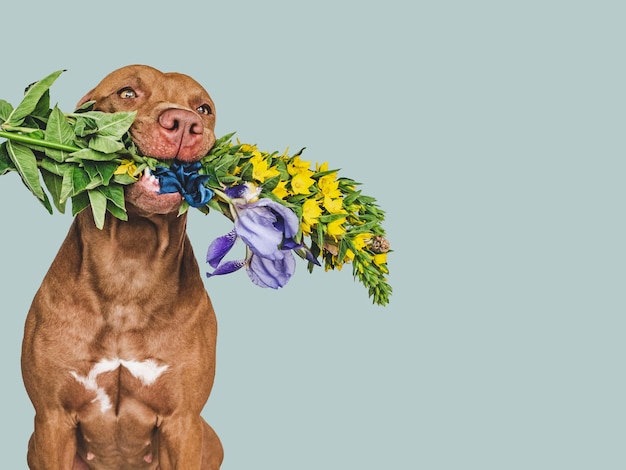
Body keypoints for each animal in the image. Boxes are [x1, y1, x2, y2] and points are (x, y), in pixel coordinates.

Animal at [22, 66, 224, 470]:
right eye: (127, 92)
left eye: (204, 109)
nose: (184, 122)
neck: (130, 266)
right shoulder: (52, 420)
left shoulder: (184, 423)